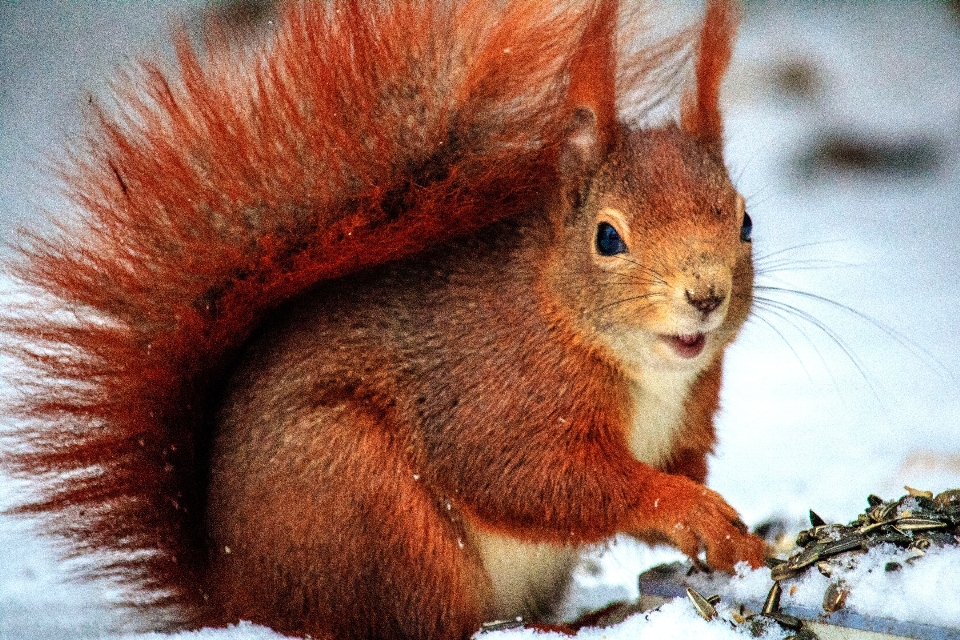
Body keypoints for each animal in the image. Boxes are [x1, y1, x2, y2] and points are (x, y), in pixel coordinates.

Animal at [0, 0, 764, 636]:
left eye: (746, 221)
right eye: (608, 237)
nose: (706, 295)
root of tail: (234, 595)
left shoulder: (690, 415)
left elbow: (677, 469)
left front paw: (741, 539)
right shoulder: (498, 393)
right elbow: (533, 479)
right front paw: (684, 507)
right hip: (369, 506)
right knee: (419, 622)